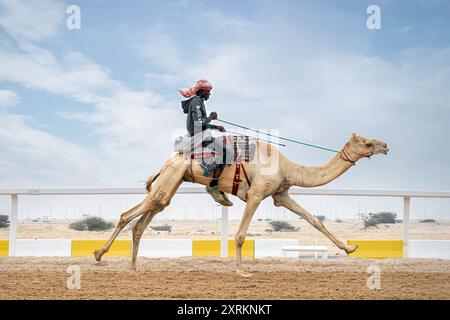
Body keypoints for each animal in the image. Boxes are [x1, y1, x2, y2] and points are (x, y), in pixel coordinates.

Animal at [93, 132, 388, 278]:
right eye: (367, 143)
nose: (385, 146)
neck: (287, 168)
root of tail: (168, 161)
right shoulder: (257, 194)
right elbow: (240, 235)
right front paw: (241, 271)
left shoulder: (281, 195)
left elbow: (315, 220)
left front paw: (350, 248)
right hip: (171, 178)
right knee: (127, 214)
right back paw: (99, 254)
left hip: (171, 183)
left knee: (145, 217)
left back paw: (133, 268)